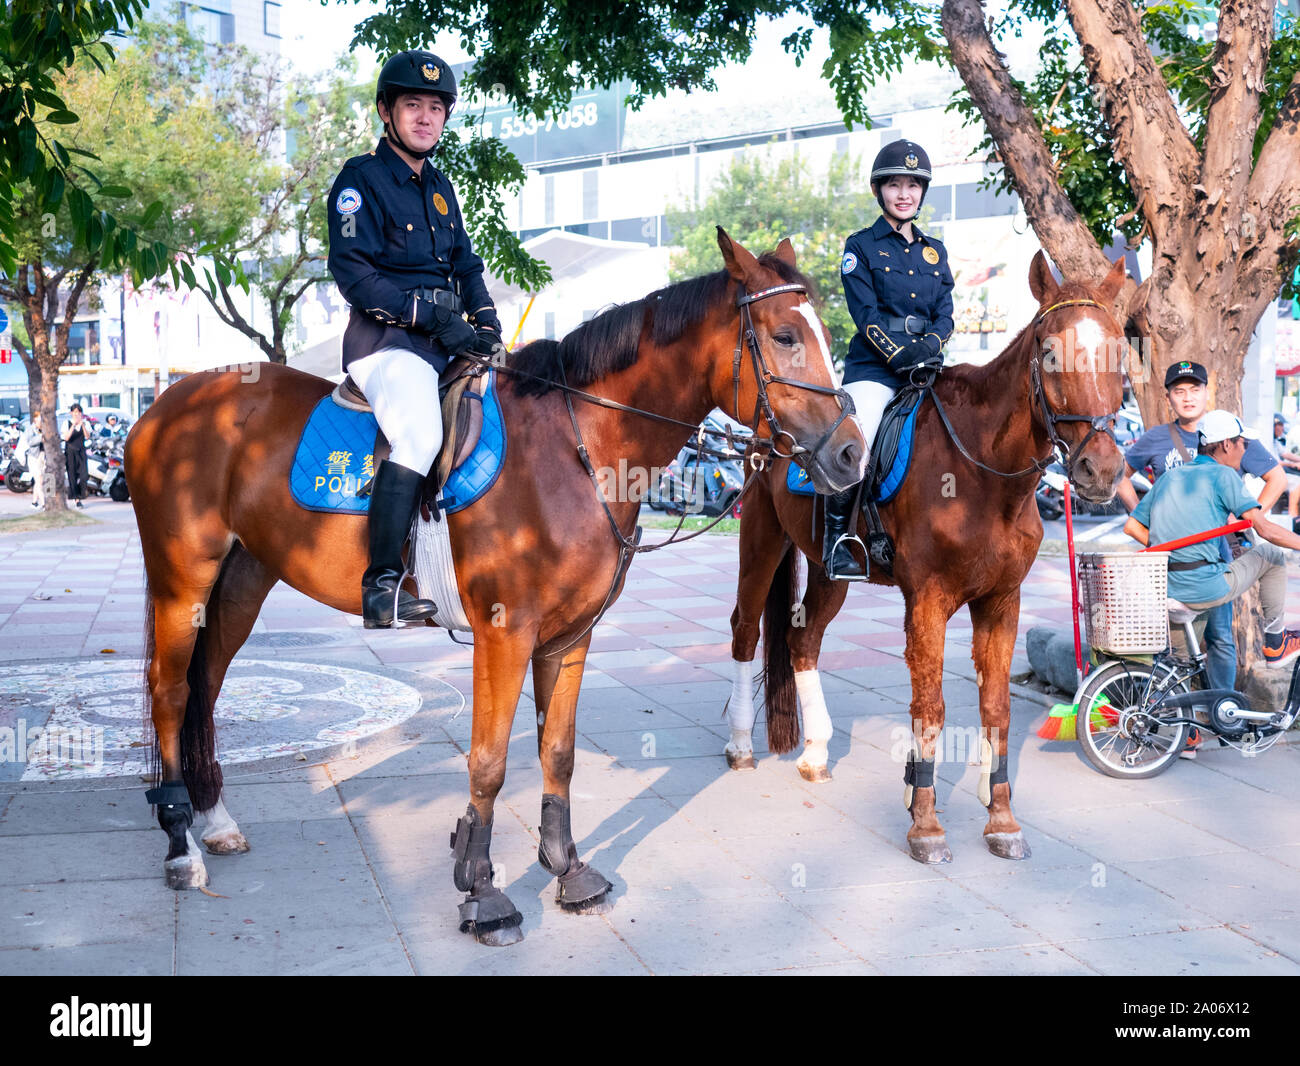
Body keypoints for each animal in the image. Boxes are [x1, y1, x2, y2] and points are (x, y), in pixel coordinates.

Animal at [126, 231, 868, 941]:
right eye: (785, 335)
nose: (851, 454)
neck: (576, 447)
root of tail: (169, 401)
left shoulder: (570, 635)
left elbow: (558, 752)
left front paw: (566, 870)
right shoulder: (505, 633)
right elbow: (487, 761)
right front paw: (481, 892)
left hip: (243, 580)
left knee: (206, 686)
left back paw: (215, 820)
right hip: (182, 582)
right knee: (170, 693)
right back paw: (180, 847)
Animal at [722, 252, 1128, 868]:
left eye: (1121, 353)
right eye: (1051, 353)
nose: (1099, 470)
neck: (984, 472)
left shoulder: (1001, 601)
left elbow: (995, 707)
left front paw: (1001, 818)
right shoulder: (929, 601)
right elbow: (930, 706)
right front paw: (926, 823)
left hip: (832, 571)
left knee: (802, 640)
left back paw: (815, 753)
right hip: (762, 543)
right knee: (746, 629)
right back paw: (742, 744)